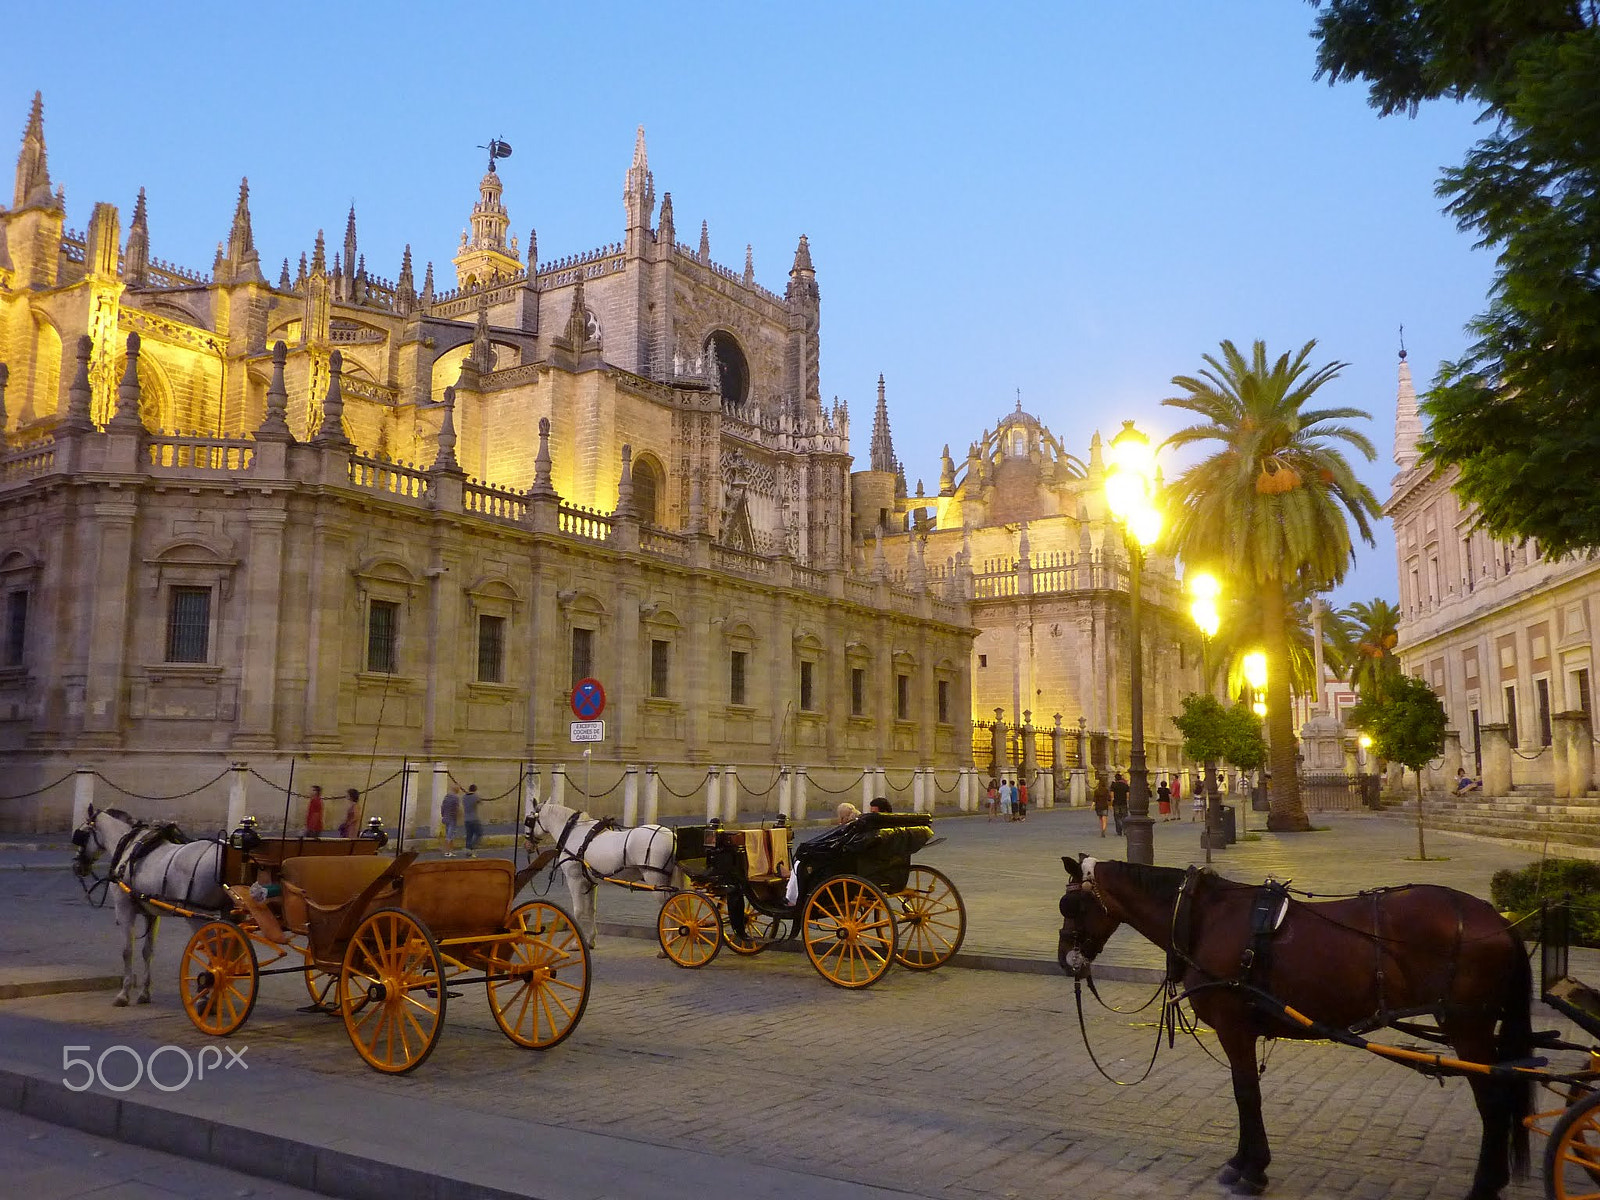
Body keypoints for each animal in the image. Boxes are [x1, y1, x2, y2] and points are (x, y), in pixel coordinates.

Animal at [71, 809, 225, 1004]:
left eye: (82, 834)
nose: (77, 866)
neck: (128, 848)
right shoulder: (152, 913)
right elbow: (148, 951)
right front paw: (145, 992)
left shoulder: (124, 909)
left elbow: (127, 951)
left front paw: (124, 993)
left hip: (199, 915)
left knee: (217, 952)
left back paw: (206, 994)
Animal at [521, 800, 678, 947]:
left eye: (528, 820)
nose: (527, 845)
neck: (573, 833)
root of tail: (671, 835)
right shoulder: (590, 882)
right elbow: (591, 910)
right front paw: (590, 940)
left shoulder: (574, 880)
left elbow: (578, 911)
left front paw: (576, 942)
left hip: (655, 880)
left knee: (670, 907)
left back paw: (668, 941)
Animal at [1056, 857, 1529, 1196]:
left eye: (1070, 905)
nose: (1065, 959)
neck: (1203, 917)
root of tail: (1499, 919)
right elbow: (1245, 1092)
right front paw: (1244, 1162)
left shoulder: (1233, 1027)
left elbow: (1245, 1093)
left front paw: (1251, 1170)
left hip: (1468, 1027)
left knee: (1493, 1102)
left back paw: (1485, 1186)